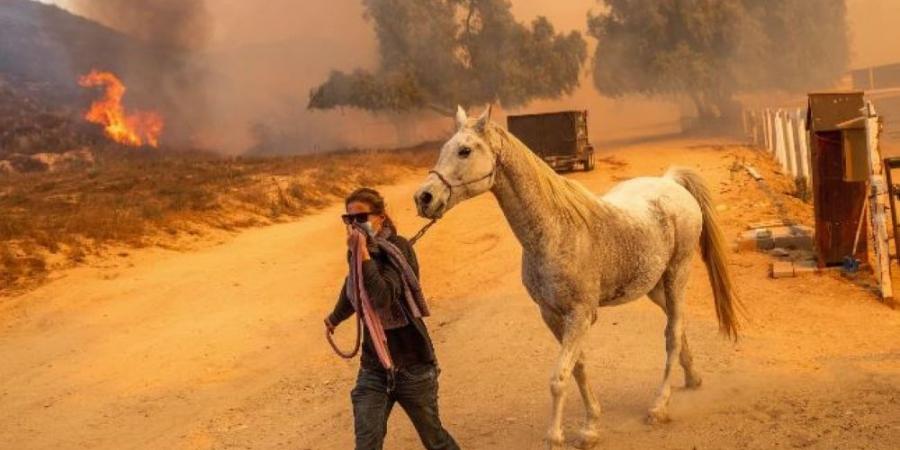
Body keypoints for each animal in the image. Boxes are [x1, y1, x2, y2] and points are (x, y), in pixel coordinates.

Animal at [414, 106, 740, 450]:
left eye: (464, 151)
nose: (424, 198)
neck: (556, 231)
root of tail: (671, 183)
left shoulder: (581, 315)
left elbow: (559, 378)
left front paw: (556, 437)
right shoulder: (552, 315)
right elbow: (578, 368)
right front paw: (591, 427)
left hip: (678, 274)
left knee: (672, 334)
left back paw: (658, 407)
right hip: (654, 286)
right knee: (678, 326)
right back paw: (693, 378)